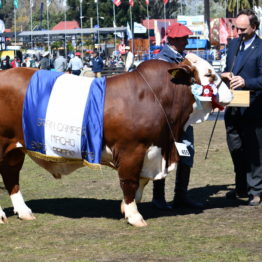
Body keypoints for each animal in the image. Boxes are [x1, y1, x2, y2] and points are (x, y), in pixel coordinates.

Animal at [0, 52, 231, 225]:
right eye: (210, 75)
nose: (230, 89)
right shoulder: (132, 149)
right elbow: (129, 181)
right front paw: (134, 215)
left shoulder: (151, 149)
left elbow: (141, 181)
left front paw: (125, 208)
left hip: (14, 149)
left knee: (11, 176)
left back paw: (24, 212)